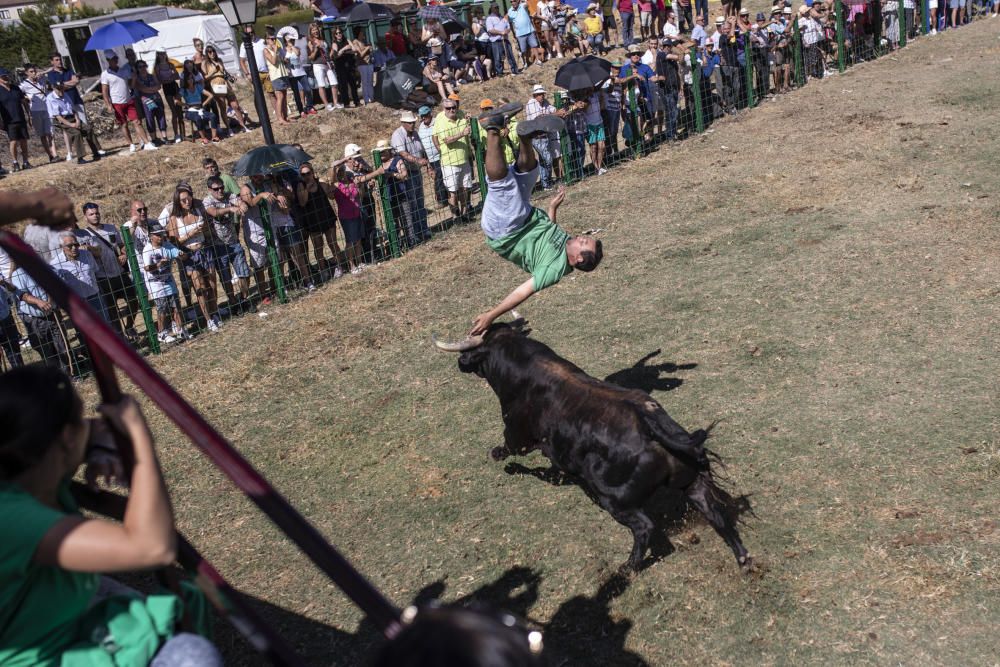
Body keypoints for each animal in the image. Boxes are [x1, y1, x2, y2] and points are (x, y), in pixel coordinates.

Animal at [434, 314, 752, 576]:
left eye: (471, 350)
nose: (460, 362)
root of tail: (650, 425)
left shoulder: (517, 433)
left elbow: (509, 447)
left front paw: (499, 456)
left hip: (613, 498)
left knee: (644, 527)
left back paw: (627, 568)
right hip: (693, 483)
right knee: (715, 513)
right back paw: (743, 559)